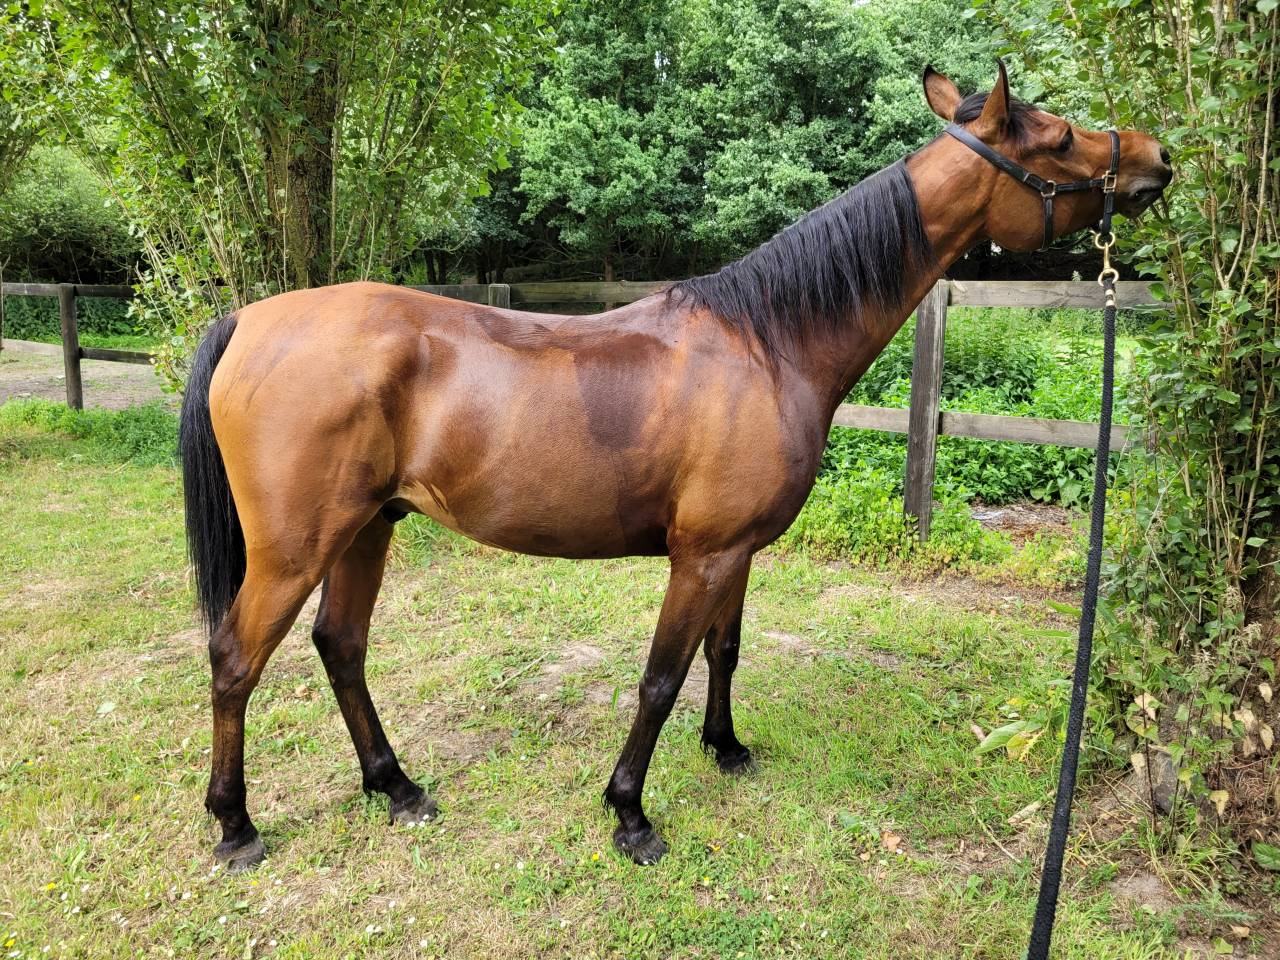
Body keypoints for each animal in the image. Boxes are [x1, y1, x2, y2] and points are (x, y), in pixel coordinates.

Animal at [179, 62, 1171, 871]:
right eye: (1057, 136)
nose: (1157, 157)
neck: (770, 344)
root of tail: (250, 322)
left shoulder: (737, 551)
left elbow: (723, 653)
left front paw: (725, 748)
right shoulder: (701, 556)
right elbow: (660, 677)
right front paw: (630, 815)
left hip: (368, 529)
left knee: (340, 648)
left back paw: (397, 788)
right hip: (296, 549)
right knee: (235, 660)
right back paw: (235, 826)